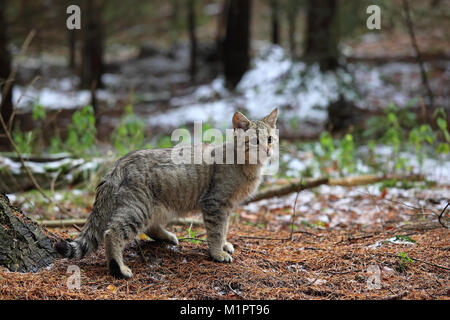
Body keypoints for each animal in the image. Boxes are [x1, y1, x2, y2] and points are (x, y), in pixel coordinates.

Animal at [55, 109, 278, 278]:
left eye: (269, 139)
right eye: (255, 141)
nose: (267, 150)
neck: (246, 166)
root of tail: (117, 166)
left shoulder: (226, 207)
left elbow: (224, 229)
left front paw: (224, 245)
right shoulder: (215, 204)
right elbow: (216, 231)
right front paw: (217, 253)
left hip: (158, 206)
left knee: (151, 227)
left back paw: (168, 237)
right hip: (138, 208)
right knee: (112, 233)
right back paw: (119, 268)